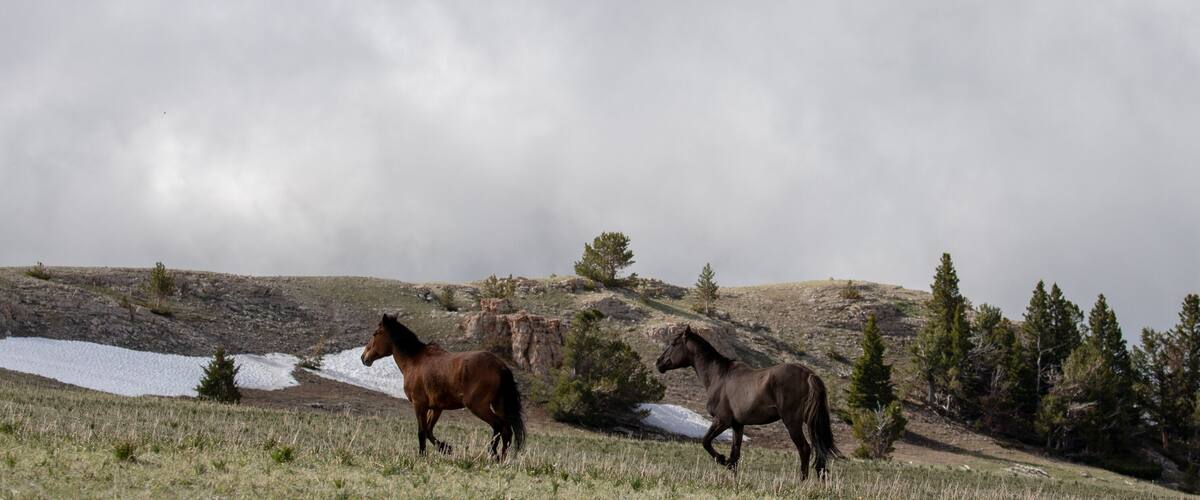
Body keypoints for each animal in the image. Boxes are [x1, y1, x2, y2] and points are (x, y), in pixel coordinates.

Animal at [360, 313, 525, 459]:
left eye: (375, 334)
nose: (363, 358)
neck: (414, 361)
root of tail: (501, 366)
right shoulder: (436, 408)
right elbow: (428, 431)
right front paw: (446, 448)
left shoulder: (419, 405)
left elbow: (421, 432)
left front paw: (423, 455)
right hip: (498, 404)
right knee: (506, 431)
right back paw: (502, 459)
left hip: (478, 406)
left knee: (498, 425)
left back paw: (493, 454)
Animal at [655, 326, 838, 479]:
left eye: (674, 343)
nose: (659, 363)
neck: (719, 376)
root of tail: (809, 375)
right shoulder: (738, 425)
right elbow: (735, 454)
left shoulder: (722, 421)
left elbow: (706, 442)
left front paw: (722, 460)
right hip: (811, 421)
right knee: (820, 450)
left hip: (792, 422)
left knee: (805, 449)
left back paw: (802, 481)